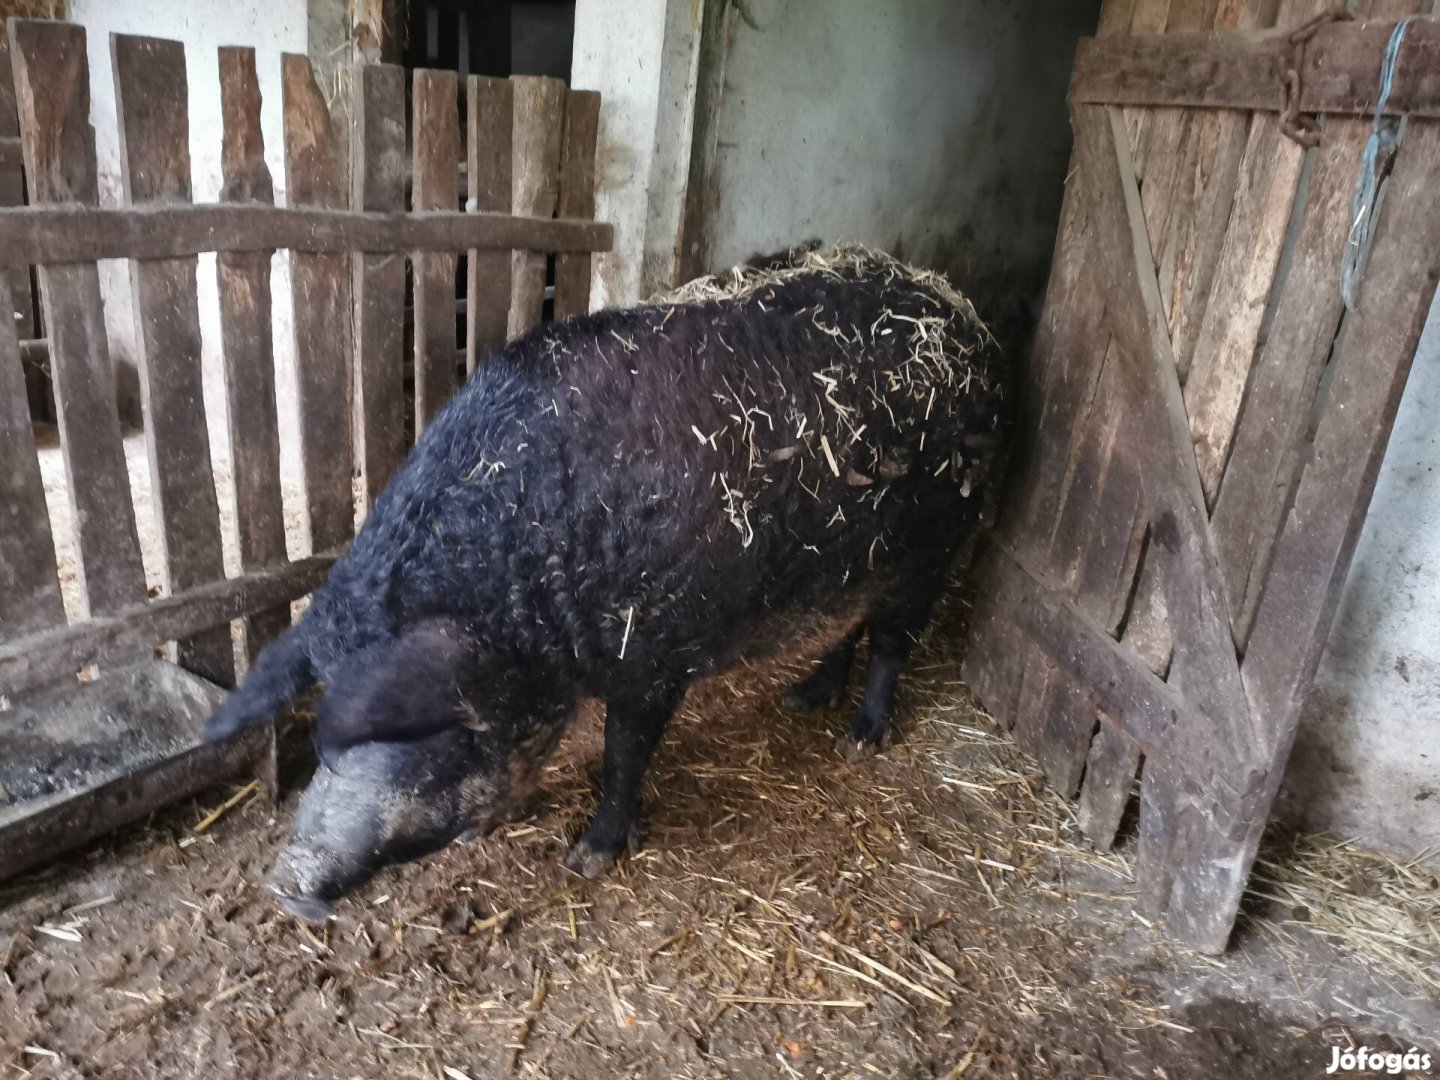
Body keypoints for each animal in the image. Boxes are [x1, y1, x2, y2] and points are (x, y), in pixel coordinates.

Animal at [205, 244, 1013, 921]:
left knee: (892, 640)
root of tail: (965, 317)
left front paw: (588, 858)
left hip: (936, 540)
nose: (284, 881)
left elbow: (624, 752)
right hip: (853, 559)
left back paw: (860, 740)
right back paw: (802, 697)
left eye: (418, 737)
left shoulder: (652, 655)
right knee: (846, 625)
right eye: (324, 744)